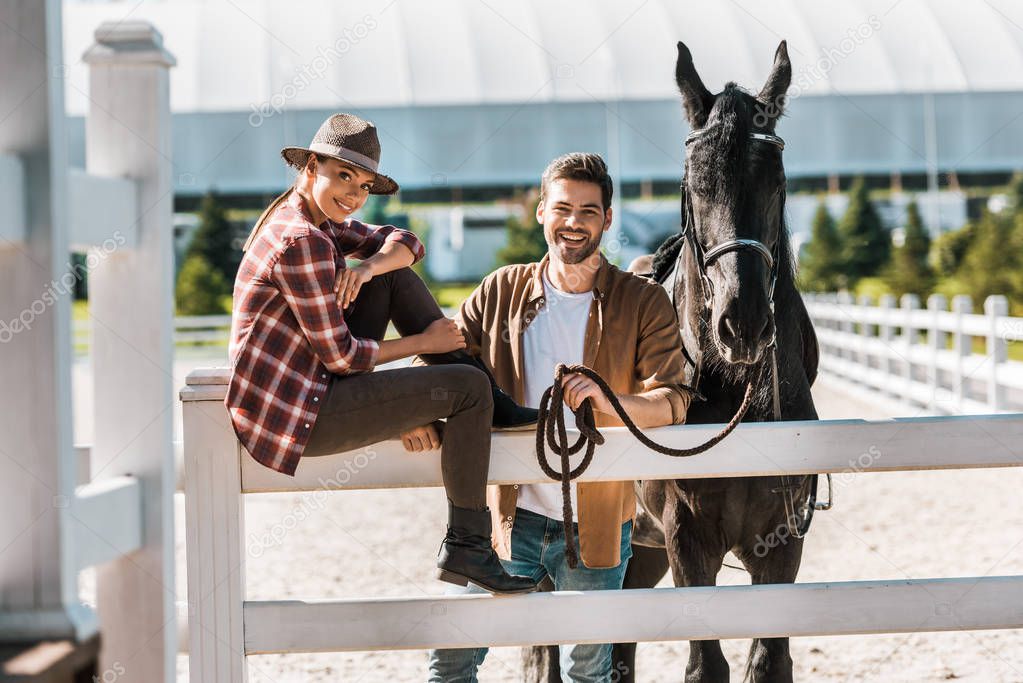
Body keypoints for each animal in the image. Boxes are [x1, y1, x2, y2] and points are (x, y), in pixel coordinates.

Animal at [523, 38, 818, 683]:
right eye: (694, 181)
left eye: (775, 178)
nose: (742, 323)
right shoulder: (689, 544)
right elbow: (706, 666)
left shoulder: (782, 543)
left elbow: (770, 661)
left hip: (639, 555)